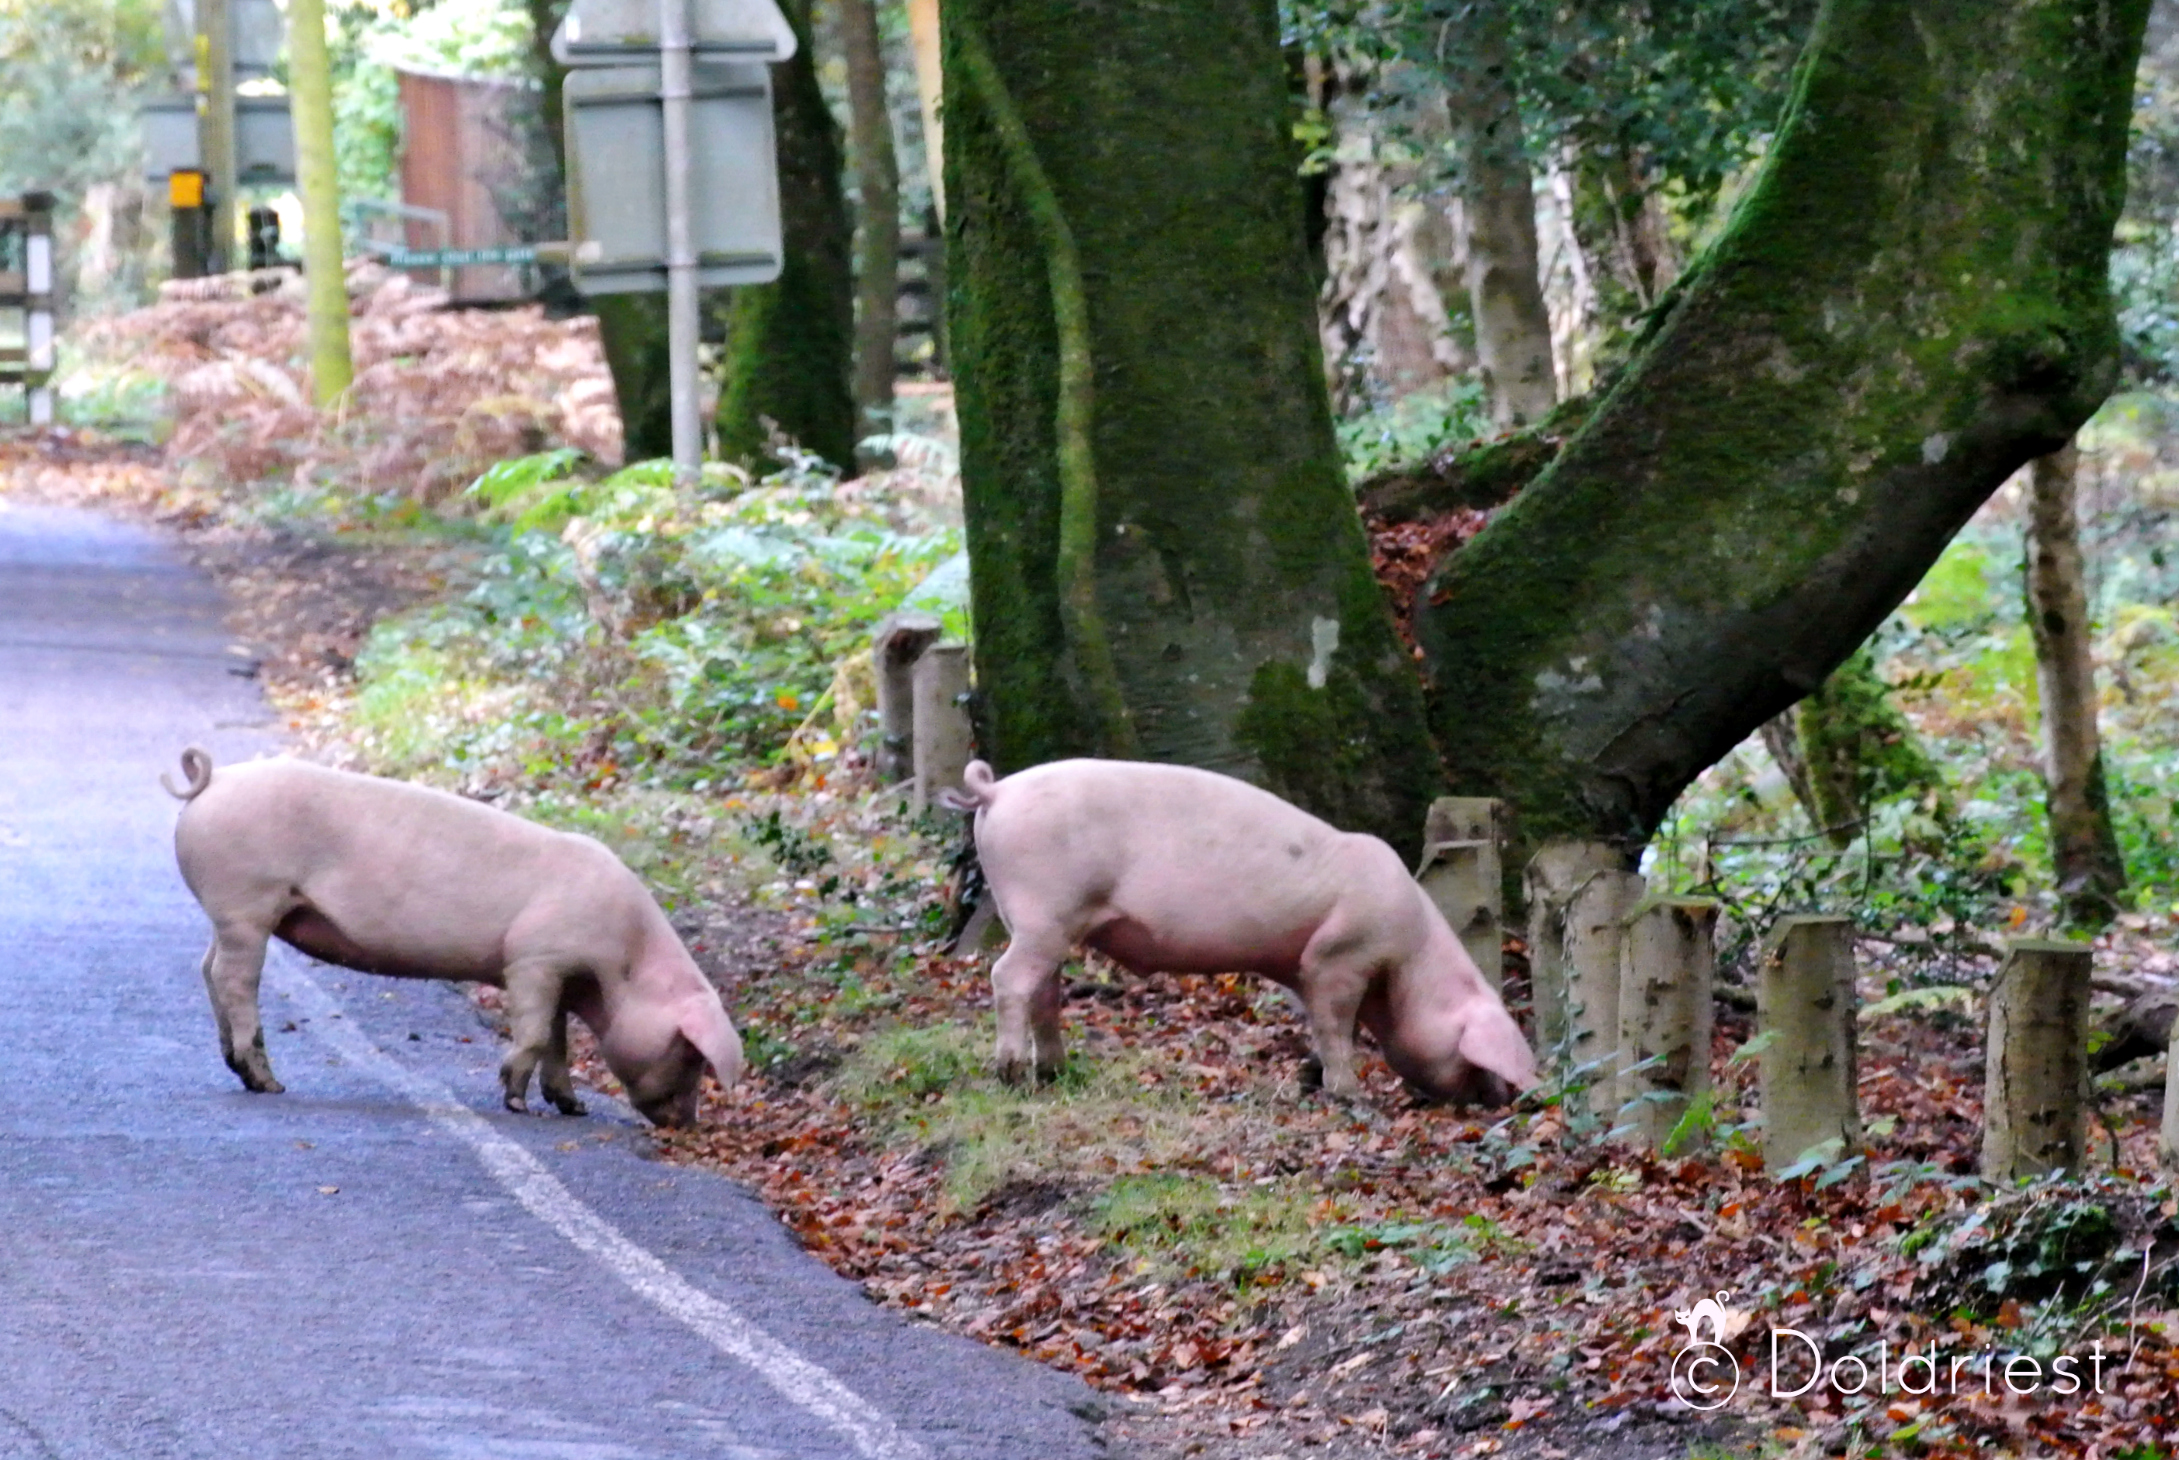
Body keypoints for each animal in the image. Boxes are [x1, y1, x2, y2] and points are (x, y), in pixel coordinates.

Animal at [163, 748, 743, 1127]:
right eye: (691, 1054)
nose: (688, 1123)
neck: (625, 963)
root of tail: (212, 781)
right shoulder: (534, 959)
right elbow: (535, 1034)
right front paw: (516, 1104)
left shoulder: (556, 974)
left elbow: (557, 1040)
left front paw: (573, 1108)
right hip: (247, 900)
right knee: (234, 978)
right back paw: (268, 1082)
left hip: (234, 912)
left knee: (207, 968)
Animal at [940, 757, 1535, 1105]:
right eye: (1471, 1045)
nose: (1503, 1098)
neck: (1408, 963)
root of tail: (996, 793)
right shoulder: (1338, 955)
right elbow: (1336, 1025)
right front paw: (1349, 1095)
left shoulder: (1301, 966)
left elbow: (1313, 1020)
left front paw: (1310, 1077)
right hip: (1043, 909)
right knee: (1008, 977)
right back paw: (1013, 1076)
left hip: (1038, 919)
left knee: (1044, 989)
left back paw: (1055, 1073)